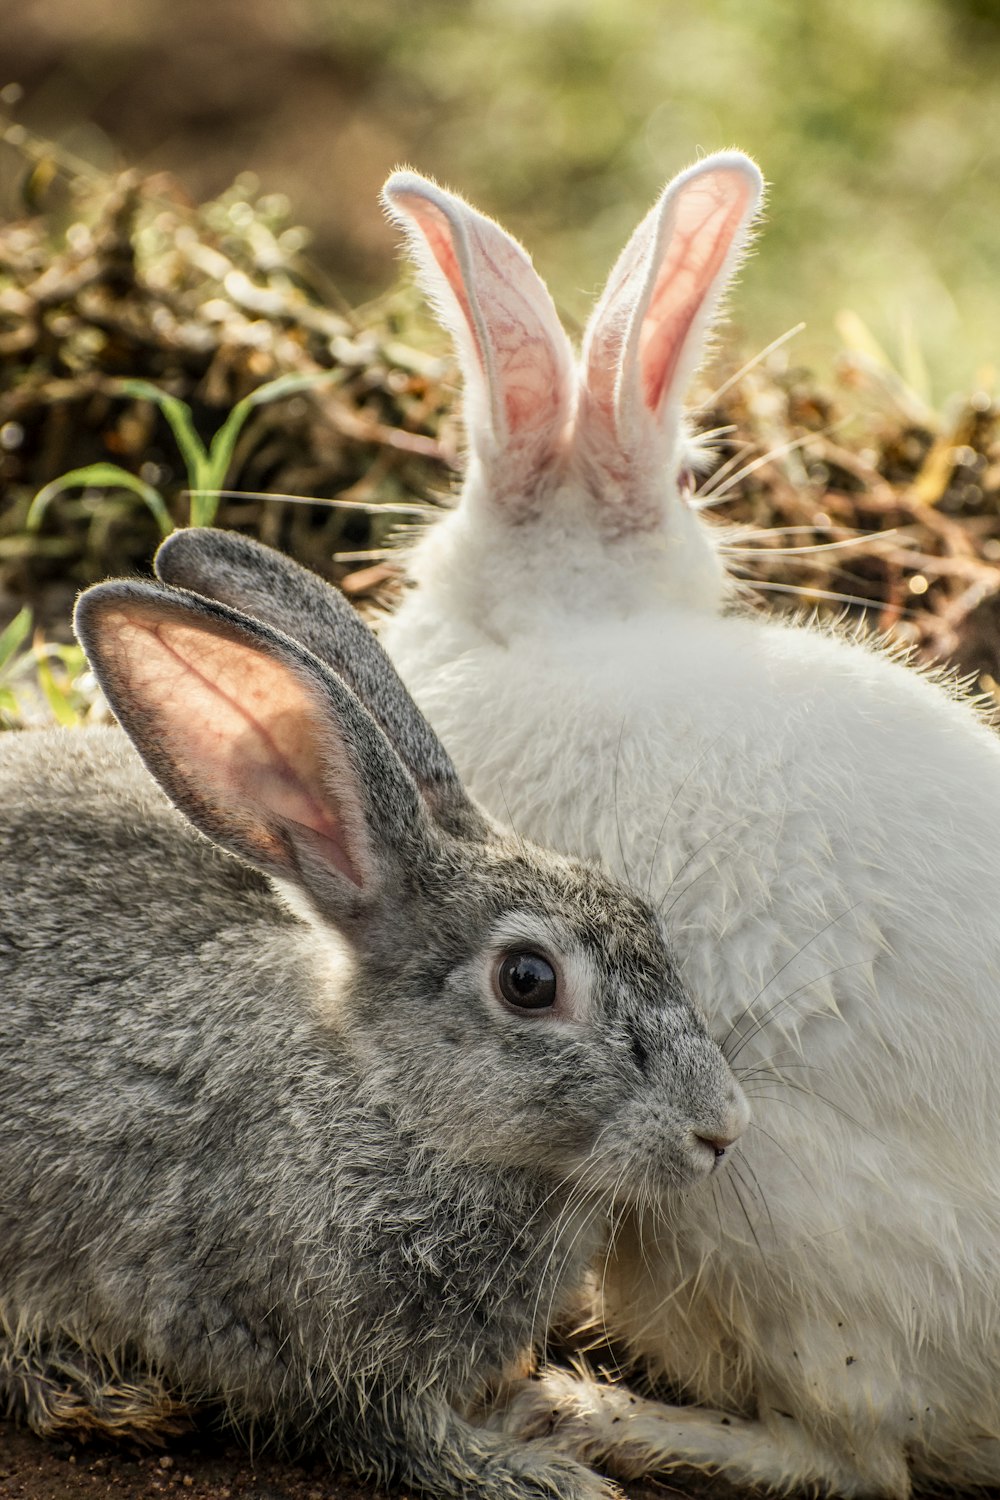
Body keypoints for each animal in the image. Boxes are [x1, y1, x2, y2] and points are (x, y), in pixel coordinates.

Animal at [0, 555, 746, 1500]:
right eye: (528, 982)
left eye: (645, 914)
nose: (721, 1128)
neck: (392, 1106)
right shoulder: (324, 1358)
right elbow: (404, 1437)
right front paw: (544, 1477)